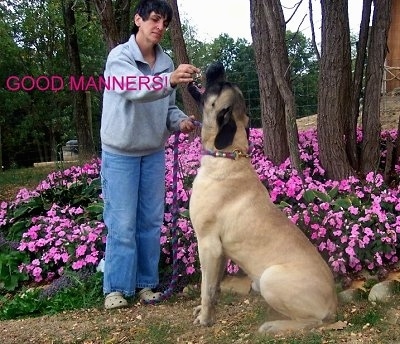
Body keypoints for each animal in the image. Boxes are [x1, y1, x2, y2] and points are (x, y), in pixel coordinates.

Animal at [188, 62, 338, 334]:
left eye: (218, 86)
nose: (218, 65)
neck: (228, 154)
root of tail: (333, 303)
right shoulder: (220, 251)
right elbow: (214, 287)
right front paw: (207, 310)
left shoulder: (208, 244)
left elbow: (206, 287)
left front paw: (205, 318)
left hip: (269, 278)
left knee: (311, 322)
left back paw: (273, 325)